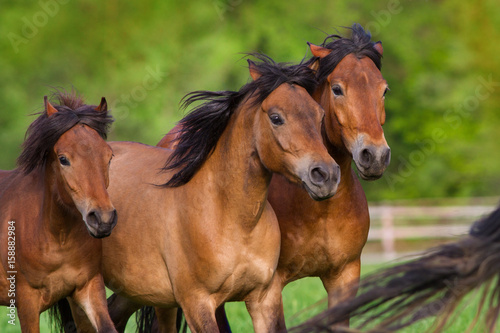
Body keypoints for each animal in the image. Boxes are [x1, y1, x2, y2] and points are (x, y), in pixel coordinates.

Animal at [0, 91, 117, 332]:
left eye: (108, 156)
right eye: (63, 159)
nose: (103, 219)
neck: (57, 237)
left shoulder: (88, 287)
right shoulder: (26, 301)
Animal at [65, 53, 340, 330]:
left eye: (319, 115)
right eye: (276, 118)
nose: (326, 175)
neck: (234, 219)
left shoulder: (264, 298)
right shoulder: (198, 303)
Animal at [158, 24, 388, 330]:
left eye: (384, 90)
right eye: (337, 89)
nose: (375, 155)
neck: (321, 211)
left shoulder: (346, 275)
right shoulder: (272, 285)